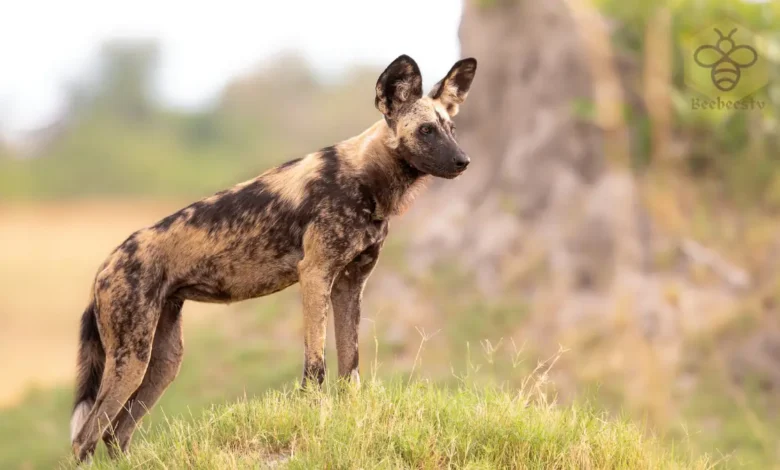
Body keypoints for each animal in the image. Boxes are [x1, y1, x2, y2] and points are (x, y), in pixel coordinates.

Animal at [71, 54, 476, 458]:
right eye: (426, 130)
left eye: (451, 128)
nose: (464, 161)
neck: (366, 179)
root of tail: (104, 267)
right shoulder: (315, 275)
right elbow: (315, 368)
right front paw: (314, 424)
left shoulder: (349, 286)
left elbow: (351, 368)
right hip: (130, 361)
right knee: (84, 437)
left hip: (162, 362)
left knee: (115, 432)